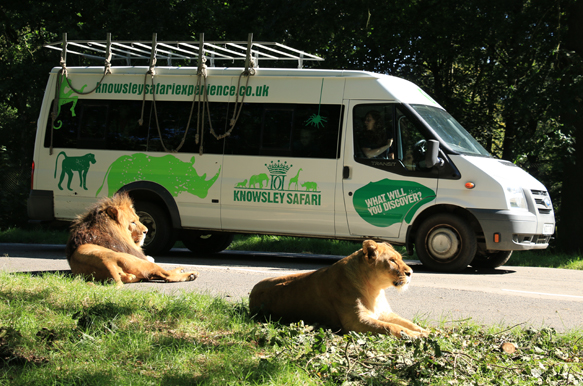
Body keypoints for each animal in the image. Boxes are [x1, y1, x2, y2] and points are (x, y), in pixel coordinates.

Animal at [65, 193, 198, 286]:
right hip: (136, 261)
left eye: (138, 219)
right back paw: (190, 274)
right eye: (132, 222)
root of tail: (107, 264)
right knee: (166, 275)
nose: (146, 231)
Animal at [249, 240, 432, 340]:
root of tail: (252, 292)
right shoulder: (356, 322)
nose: (411, 272)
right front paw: (420, 337)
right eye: (393, 261)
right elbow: (391, 327)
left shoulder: (385, 313)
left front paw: (428, 331)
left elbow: (408, 323)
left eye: (400, 258)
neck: (375, 290)